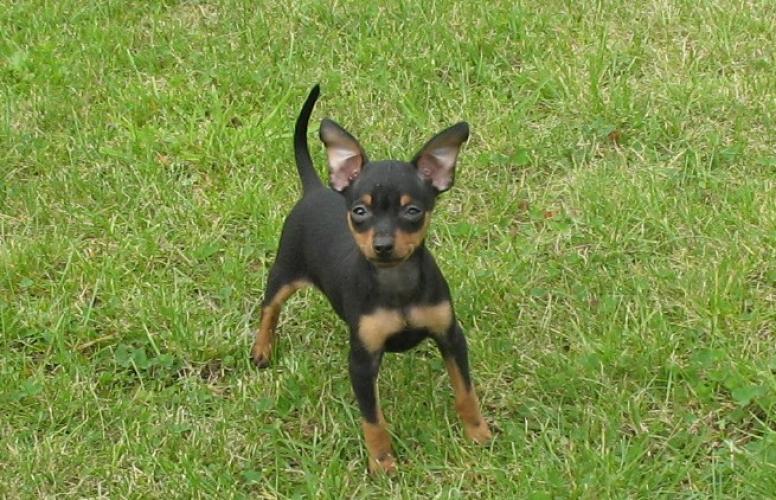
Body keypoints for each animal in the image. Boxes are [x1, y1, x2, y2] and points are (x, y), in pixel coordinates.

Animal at [252, 85, 491, 473]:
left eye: (413, 211)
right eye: (359, 211)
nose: (382, 245)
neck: (397, 283)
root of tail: (315, 188)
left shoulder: (451, 337)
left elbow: (465, 392)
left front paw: (478, 433)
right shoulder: (362, 364)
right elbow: (373, 420)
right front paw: (382, 463)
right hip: (284, 272)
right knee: (269, 308)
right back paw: (262, 348)